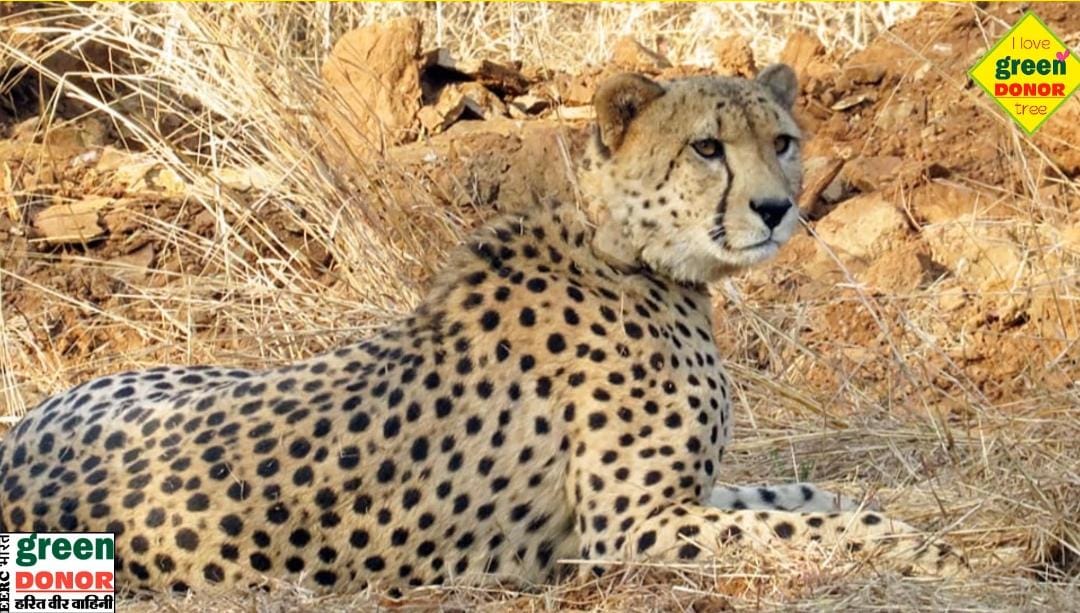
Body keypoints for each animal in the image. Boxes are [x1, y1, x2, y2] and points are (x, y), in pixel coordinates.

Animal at [0, 64, 966, 596]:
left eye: (783, 141)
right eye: (706, 149)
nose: (776, 209)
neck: (630, 253)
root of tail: (22, 439)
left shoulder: (683, 496)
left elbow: (800, 496)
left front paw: (890, 517)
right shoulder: (628, 527)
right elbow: (808, 528)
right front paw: (919, 546)